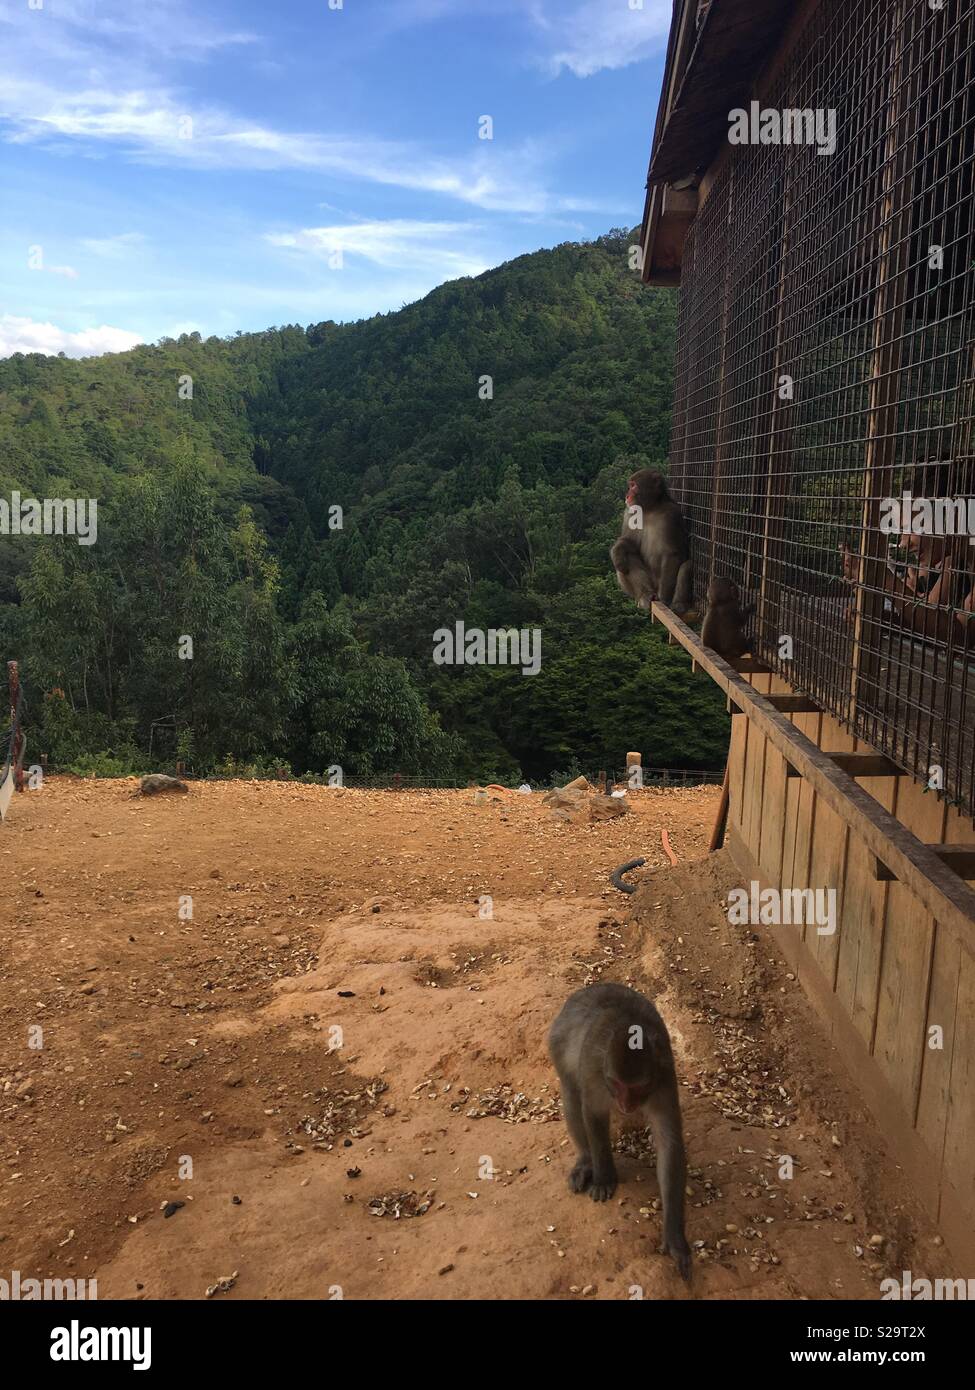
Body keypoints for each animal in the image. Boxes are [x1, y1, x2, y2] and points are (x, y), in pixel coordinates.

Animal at [548, 982, 692, 1280]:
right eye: (617, 1084)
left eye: (637, 1087)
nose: (626, 1105)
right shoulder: (595, 1072)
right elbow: (593, 1112)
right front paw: (604, 1177)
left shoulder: (663, 1079)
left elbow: (669, 1142)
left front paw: (674, 1238)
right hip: (557, 1041)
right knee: (572, 1092)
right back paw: (586, 1161)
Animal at [610, 469, 694, 616]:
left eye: (633, 486)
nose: (627, 495)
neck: (650, 508)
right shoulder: (630, 512)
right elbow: (629, 542)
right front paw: (617, 550)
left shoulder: (671, 514)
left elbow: (672, 554)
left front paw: (665, 598)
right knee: (625, 560)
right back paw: (645, 595)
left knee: (686, 565)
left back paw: (678, 605)